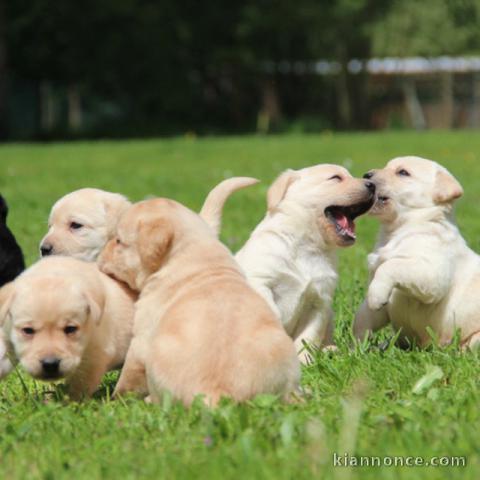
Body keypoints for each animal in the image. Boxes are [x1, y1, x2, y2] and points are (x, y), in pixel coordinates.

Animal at [0, 256, 136, 400]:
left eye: (70, 329)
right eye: (28, 330)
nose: (50, 364)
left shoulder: (94, 358)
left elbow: (78, 389)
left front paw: (65, 403)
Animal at [97, 198, 300, 404]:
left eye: (118, 241)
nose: (101, 253)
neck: (192, 251)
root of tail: (218, 394)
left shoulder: (142, 335)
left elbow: (129, 375)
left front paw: (116, 398)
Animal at [235, 163, 376, 362]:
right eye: (335, 178)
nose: (373, 185)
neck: (307, 246)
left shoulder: (319, 302)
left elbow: (308, 338)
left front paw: (305, 362)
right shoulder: (261, 281)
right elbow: (272, 317)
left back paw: (330, 350)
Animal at [354, 158, 480, 348]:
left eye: (403, 172)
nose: (366, 175)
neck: (399, 231)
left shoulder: (432, 274)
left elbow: (391, 265)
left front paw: (376, 297)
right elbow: (363, 316)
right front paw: (355, 346)